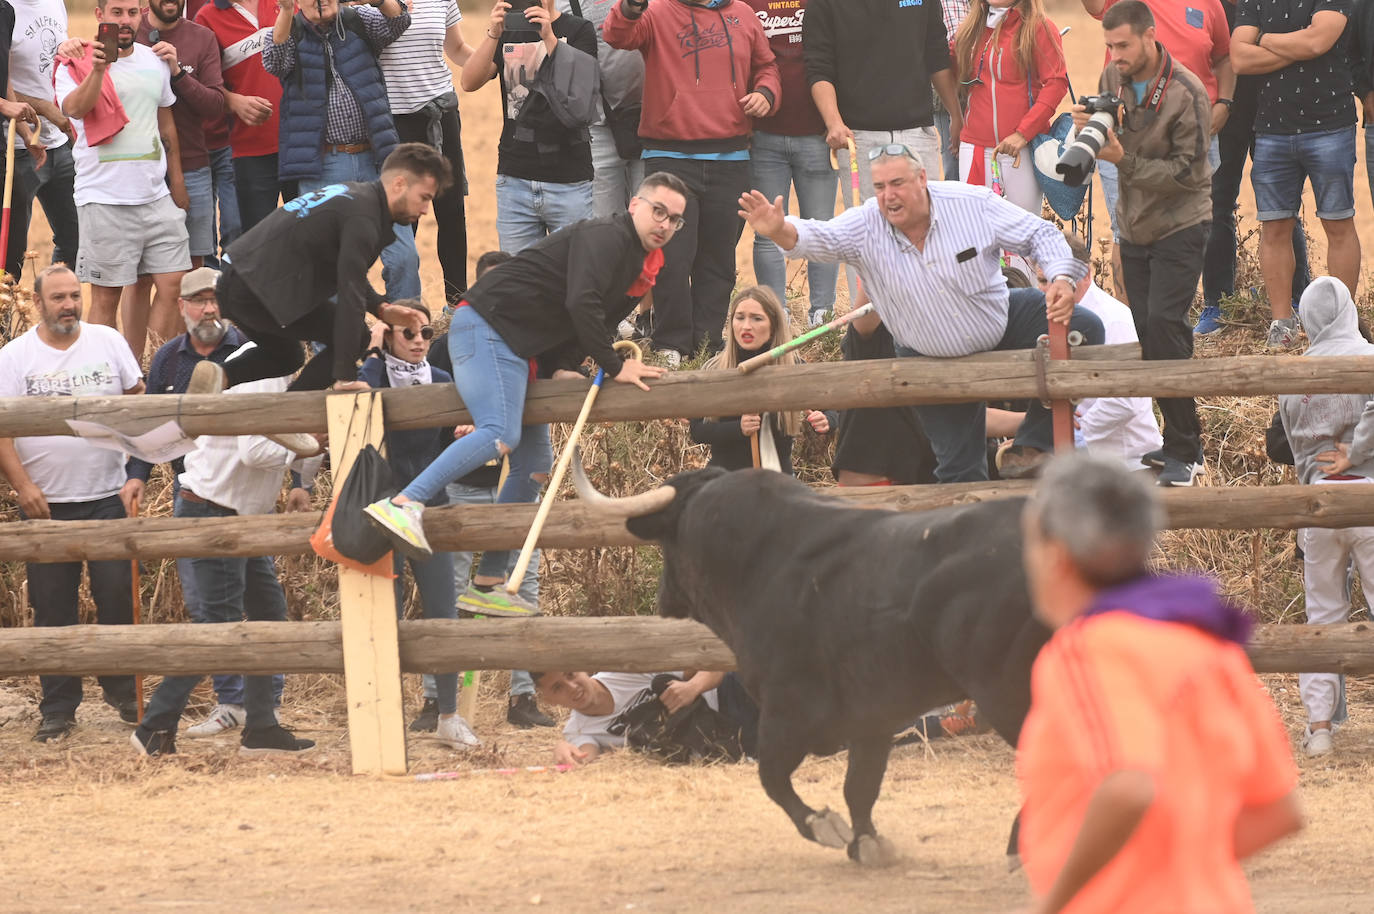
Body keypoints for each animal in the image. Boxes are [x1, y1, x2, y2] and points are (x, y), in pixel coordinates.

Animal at [618, 470, 1044, 863]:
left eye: (667, 543)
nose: (661, 598)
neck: (761, 560)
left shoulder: (786, 709)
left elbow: (772, 777)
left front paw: (824, 825)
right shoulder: (872, 716)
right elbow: (860, 786)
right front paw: (867, 842)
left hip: (1007, 694)